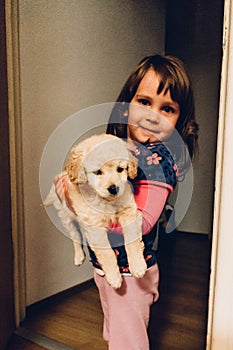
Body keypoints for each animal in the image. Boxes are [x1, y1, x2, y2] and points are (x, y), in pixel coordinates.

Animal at [43, 133, 146, 288]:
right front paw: (114, 277)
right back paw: (79, 257)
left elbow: (131, 240)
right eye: (98, 172)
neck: (106, 201)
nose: (114, 188)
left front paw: (138, 265)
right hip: (66, 217)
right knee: (75, 236)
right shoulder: (94, 227)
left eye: (120, 169)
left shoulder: (129, 212)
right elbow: (107, 253)